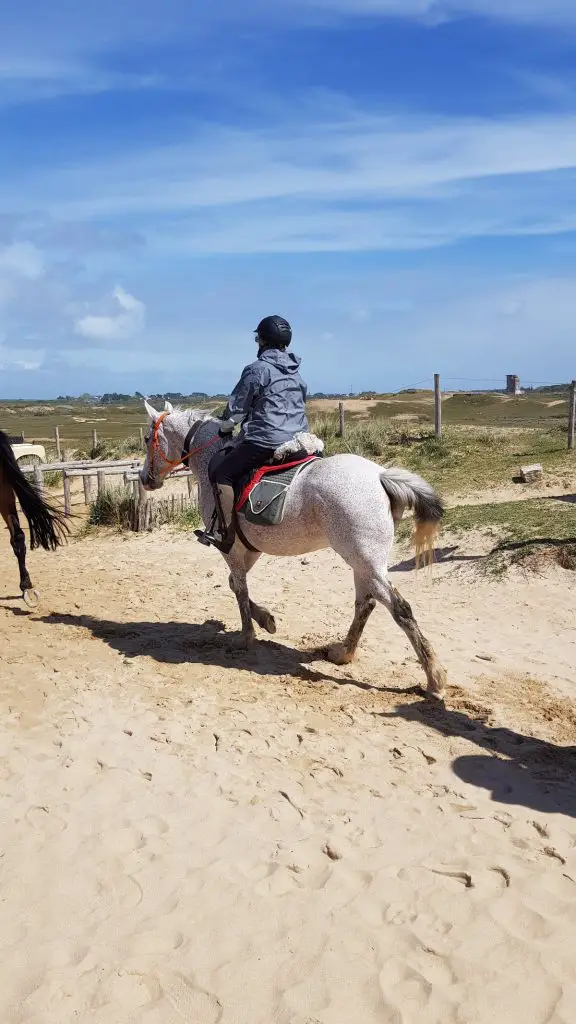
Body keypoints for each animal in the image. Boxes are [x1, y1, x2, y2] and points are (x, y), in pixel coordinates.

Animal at [141, 397, 446, 696]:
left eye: (146, 439)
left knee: (399, 608)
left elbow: (239, 588)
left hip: (364, 559)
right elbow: (234, 584)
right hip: (363, 562)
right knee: (366, 603)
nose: (145, 479)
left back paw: (434, 677)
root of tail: (381, 475)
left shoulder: (230, 548)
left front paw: (246, 637)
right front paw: (265, 619)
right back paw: (344, 653)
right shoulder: (249, 549)